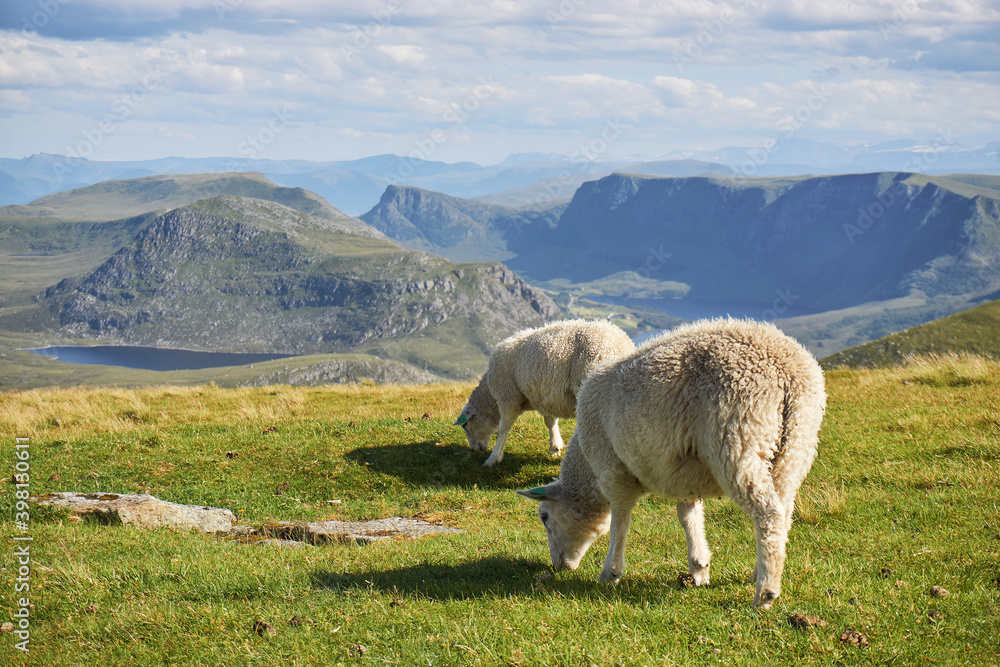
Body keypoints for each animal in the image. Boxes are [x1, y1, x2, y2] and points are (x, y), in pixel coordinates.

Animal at [454, 319, 635, 468]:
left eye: (465, 425)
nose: (475, 450)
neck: (490, 397)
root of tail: (620, 346)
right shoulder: (546, 397)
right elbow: (550, 421)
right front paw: (555, 447)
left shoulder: (509, 397)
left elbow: (503, 428)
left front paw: (493, 458)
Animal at [517, 318, 826, 608]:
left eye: (544, 517)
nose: (558, 567)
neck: (587, 468)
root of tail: (787, 372)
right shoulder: (684, 474)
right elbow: (688, 516)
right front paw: (699, 567)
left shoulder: (614, 471)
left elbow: (620, 521)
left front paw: (611, 572)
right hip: (793, 449)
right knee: (783, 513)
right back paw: (759, 571)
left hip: (740, 437)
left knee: (768, 514)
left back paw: (766, 591)